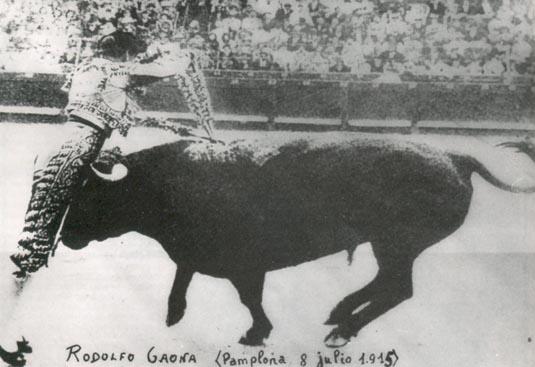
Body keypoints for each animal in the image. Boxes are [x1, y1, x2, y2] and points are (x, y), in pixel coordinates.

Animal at [58, 137, 535, 348]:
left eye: (91, 195)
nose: (66, 237)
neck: (160, 186)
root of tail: (456, 156)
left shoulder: (246, 268)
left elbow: (249, 299)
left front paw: (255, 334)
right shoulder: (195, 257)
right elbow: (182, 277)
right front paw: (173, 316)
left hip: (397, 243)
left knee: (398, 288)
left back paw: (343, 329)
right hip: (391, 246)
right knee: (389, 284)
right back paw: (338, 314)